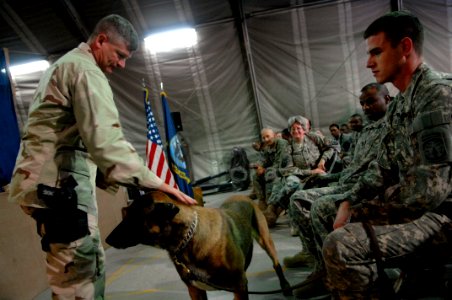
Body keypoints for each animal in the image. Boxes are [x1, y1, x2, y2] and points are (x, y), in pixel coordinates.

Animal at [105, 191, 292, 298]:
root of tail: (242, 196)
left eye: (131, 218)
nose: (106, 240)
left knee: (276, 264)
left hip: (265, 240)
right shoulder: (195, 291)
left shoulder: (239, 286)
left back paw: (285, 286)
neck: (187, 240)